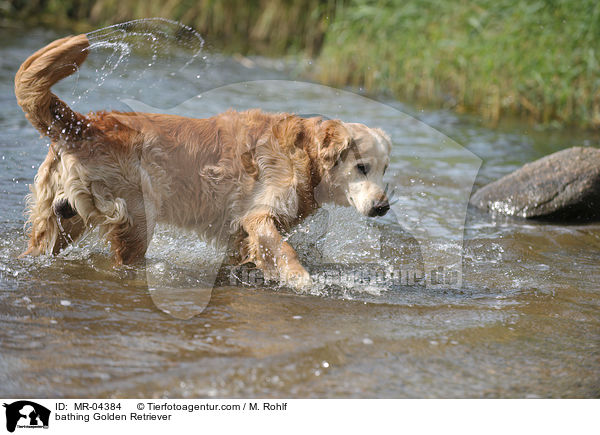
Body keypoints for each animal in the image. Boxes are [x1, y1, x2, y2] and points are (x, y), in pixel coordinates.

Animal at [14, 34, 392, 292]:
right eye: (361, 167)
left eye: (384, 170)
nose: (383, 207)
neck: (303, 155)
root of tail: (83, 124)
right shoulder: (258, 215)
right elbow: (284, 251)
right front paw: (302, 281)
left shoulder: (240, 235)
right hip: (136, 217)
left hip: (60, 219)